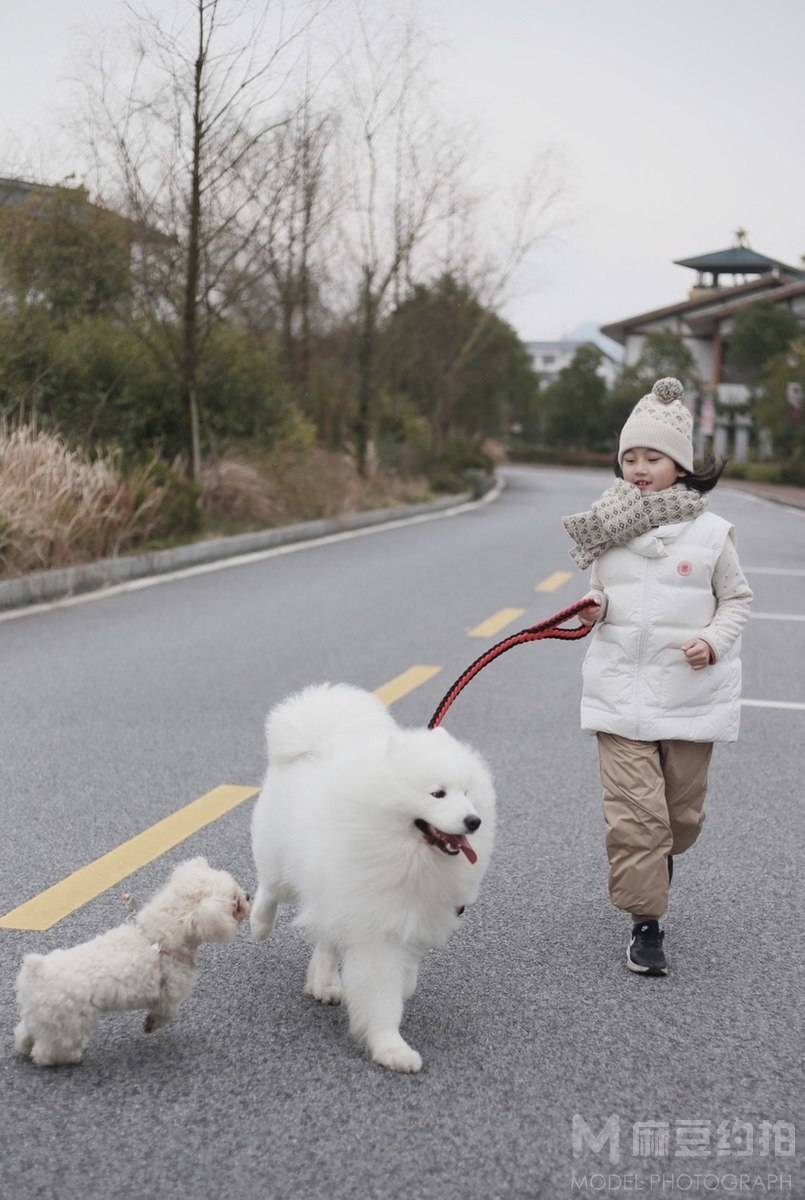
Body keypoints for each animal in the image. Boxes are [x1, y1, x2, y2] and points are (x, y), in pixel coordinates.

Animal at [14, 854, 248, 1070]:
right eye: (235, 900)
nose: (247, 895)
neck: (161, 936)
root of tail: (38, 971)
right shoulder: (170, 993)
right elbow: (165, 1013)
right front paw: (150, 1025)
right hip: (68, 1023)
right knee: (48, 1051)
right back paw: (69, 1058)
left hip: (39, 1016)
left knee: (24, 1033)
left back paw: (25, 1046)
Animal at [251, 686, 494, 1080]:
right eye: (438, 794)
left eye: (468, 793)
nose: (474, 821)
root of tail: (317, 741)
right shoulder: (376, 929)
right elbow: (381, 999)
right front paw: (391, 1049)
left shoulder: (412, 917)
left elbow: (405, 977)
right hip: (282, 859)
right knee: (270, 885)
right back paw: (259, 923)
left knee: (326, 939)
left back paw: (324, 983)